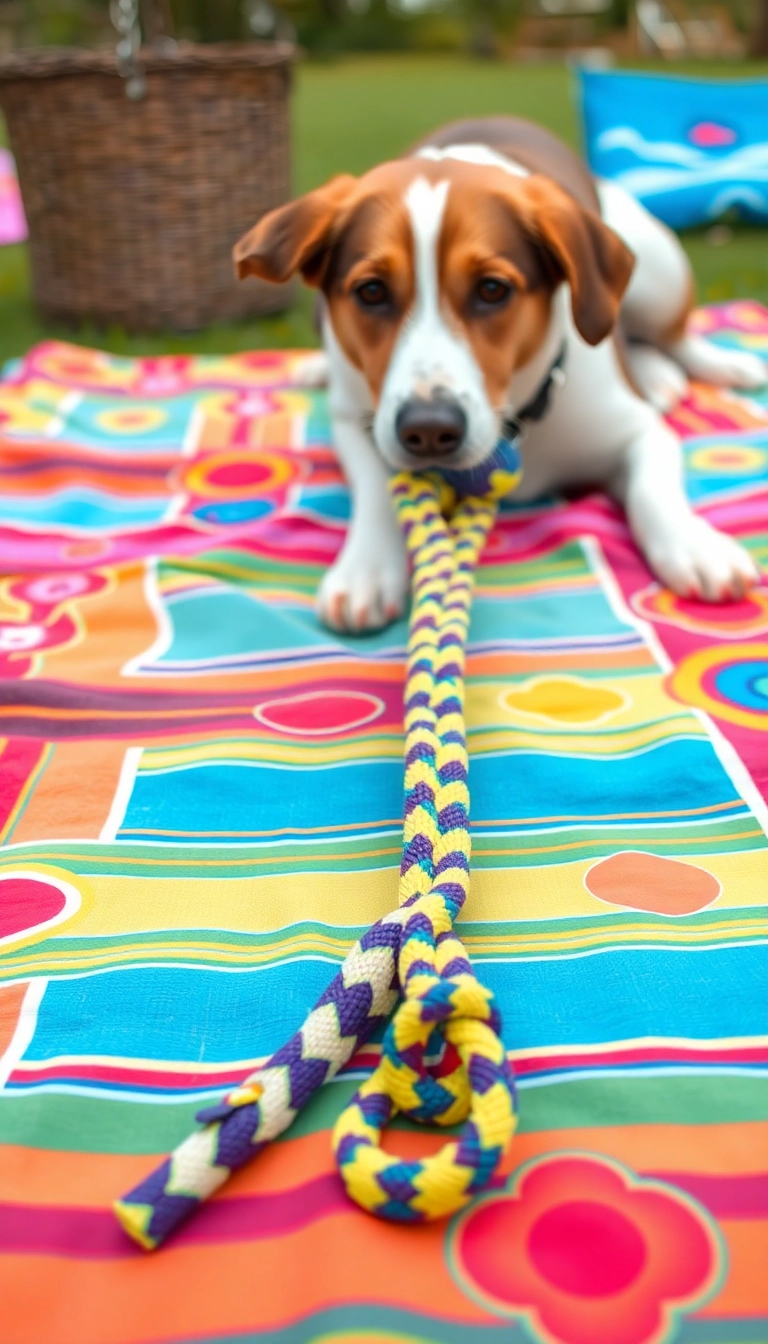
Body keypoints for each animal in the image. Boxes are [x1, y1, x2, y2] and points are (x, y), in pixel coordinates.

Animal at [238, 114, 763, 628]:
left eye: (492, 289)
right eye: (371, 291)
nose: (429, 430)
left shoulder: (636, 430)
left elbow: (654, 487)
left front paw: (694, 543)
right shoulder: (355, 421)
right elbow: (376, 487)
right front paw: (366, 567)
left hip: (658, 273)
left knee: (671, 335)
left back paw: (704, 367)